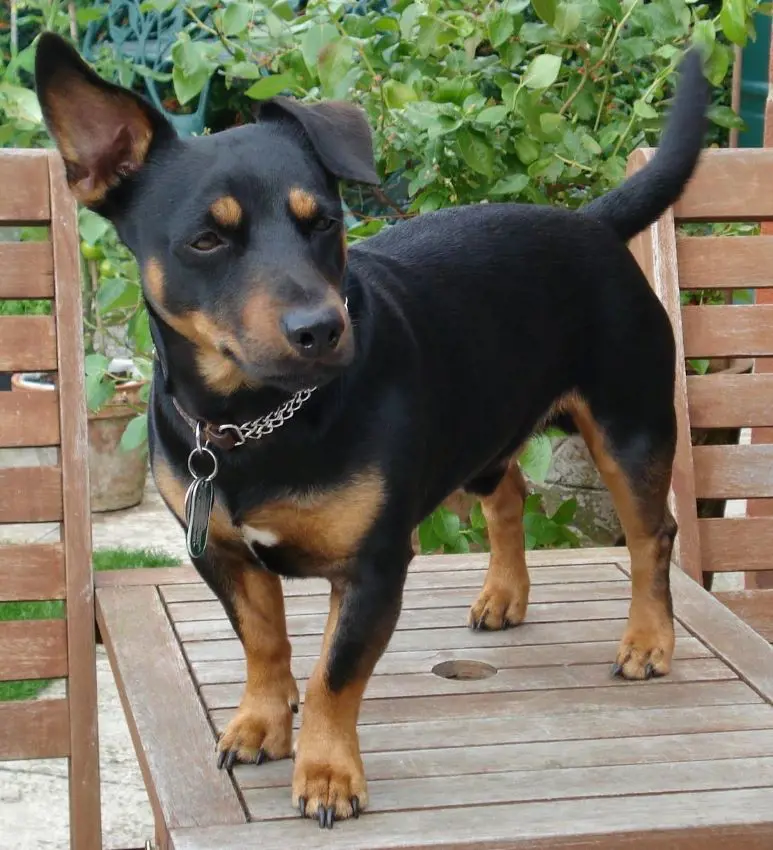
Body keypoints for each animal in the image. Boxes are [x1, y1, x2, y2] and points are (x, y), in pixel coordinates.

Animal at [36, 34, 708, 828]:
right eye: (205, 240)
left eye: (325, 221)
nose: (320, 329)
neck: (256, 420)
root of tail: (592, 220)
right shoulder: (221, 555)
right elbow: (263, 644)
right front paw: (262, 723)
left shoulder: (374, 567)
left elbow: (335, 671)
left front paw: (327, 772)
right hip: (484, 428)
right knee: (507, 494)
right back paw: (504, 595)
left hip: (628, 430)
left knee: (651, 537)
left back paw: (648, 639)